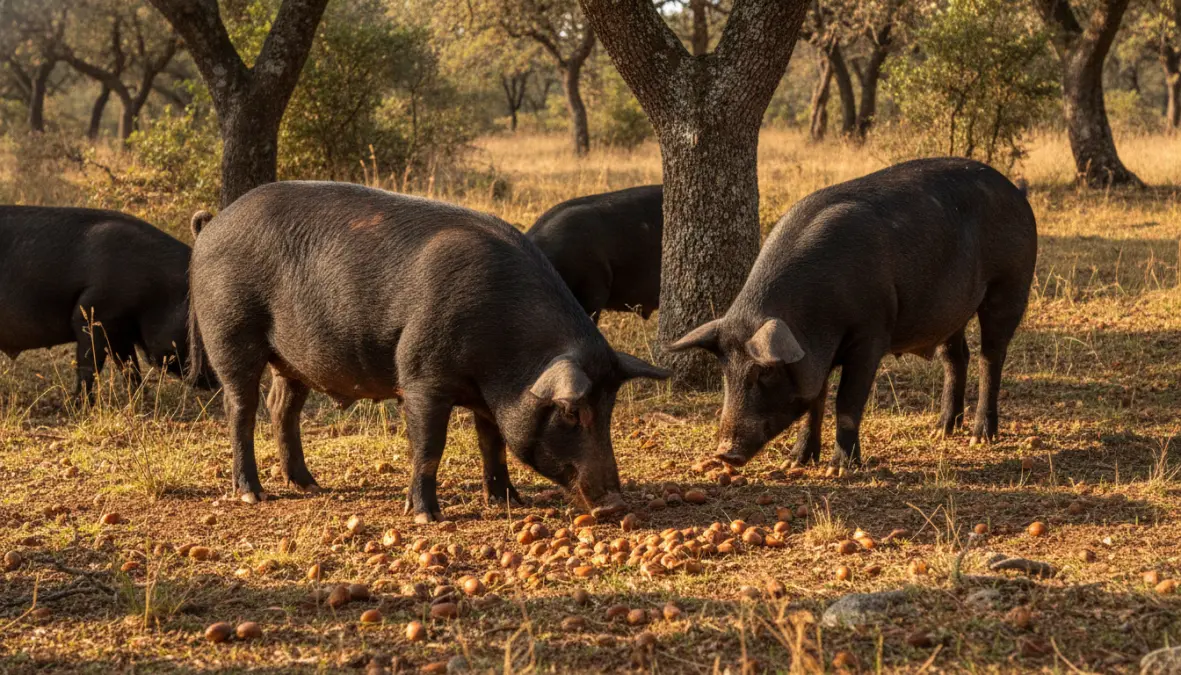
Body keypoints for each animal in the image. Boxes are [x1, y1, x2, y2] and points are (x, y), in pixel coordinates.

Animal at [0, 206, 212, 399]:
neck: (158, 289)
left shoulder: (121, 332)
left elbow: (129, 365)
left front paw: (142, 399)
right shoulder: (92, 314)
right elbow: (90, 365)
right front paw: (82, 405)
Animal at [669, 158, 1037, 470]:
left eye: (765, 371)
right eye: (725, 373)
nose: (724, 453)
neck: (813, 314)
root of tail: (1015, 191)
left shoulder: (871, 333)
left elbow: (846, 401)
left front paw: (839, 469)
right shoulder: (814, 354)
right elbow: (815, 401)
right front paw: (794, 462)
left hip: (1010, 284)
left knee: (991, 355)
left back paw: (980, 437)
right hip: (950, 311)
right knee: (956, 356)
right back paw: (941, 430)